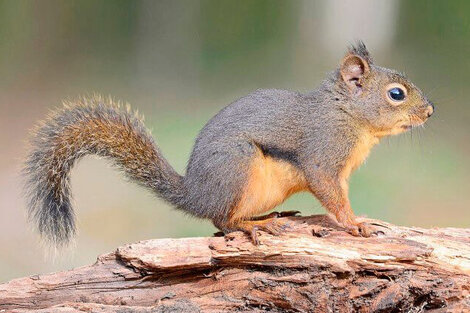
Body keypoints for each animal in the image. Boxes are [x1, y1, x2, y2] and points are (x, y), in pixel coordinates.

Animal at [24, 42, 434, 246]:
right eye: (396, 94)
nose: (430, 111)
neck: (347, 115)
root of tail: (195, 195)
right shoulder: (324, 154)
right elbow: (331, 194)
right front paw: (355, 225)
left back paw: (269, 218)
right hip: (237, 167)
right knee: (222, 221)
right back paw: (252, 227)